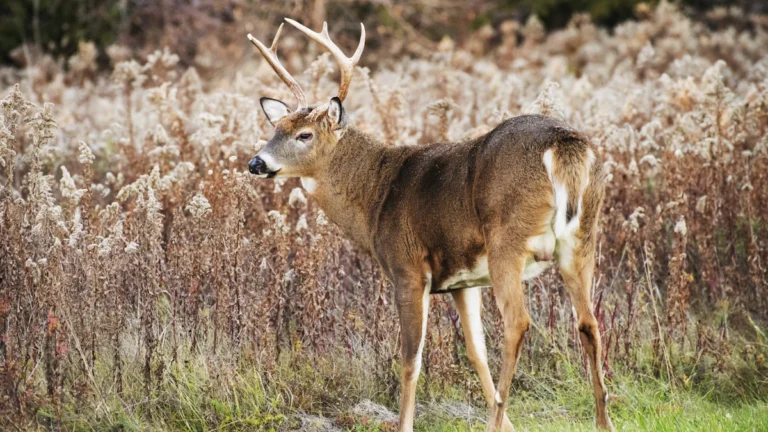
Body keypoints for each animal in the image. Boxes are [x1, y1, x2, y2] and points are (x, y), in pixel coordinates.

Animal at [246, 18, 614, 432]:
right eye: (276, 128)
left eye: (304, 135)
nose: (256, 163)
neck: (375, 196)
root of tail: (564, 143)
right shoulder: (463, 281)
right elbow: (475, 351)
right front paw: (507, 423)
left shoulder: (407, 267)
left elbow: (410, 358)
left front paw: (405, 423)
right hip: (583, 238)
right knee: (589, 323)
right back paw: (603, 422)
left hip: (509, 239)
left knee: (518, 323)